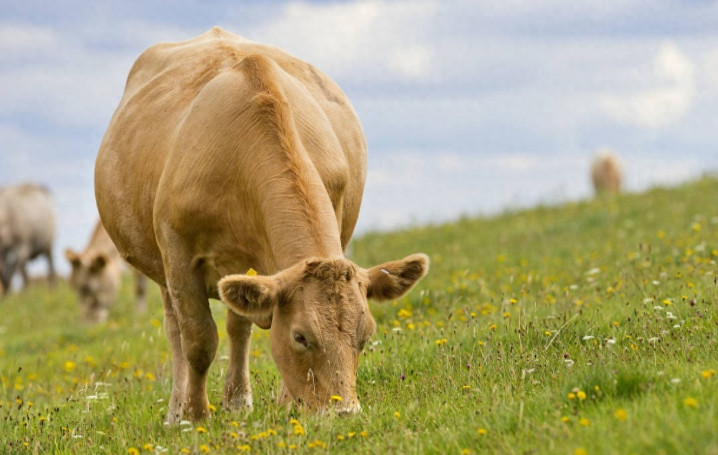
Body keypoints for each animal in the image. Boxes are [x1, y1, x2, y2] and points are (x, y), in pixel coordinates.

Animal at [95, 27, 429, 423]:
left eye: (364, 336)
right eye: (301, 336)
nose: (343, 411)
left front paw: (285, 401)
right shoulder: (176, 251)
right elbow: (198, 339)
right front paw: (195, 415)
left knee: (238, 326)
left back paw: (238, 400)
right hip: (159, 264)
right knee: (174, 329)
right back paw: (176, 412)